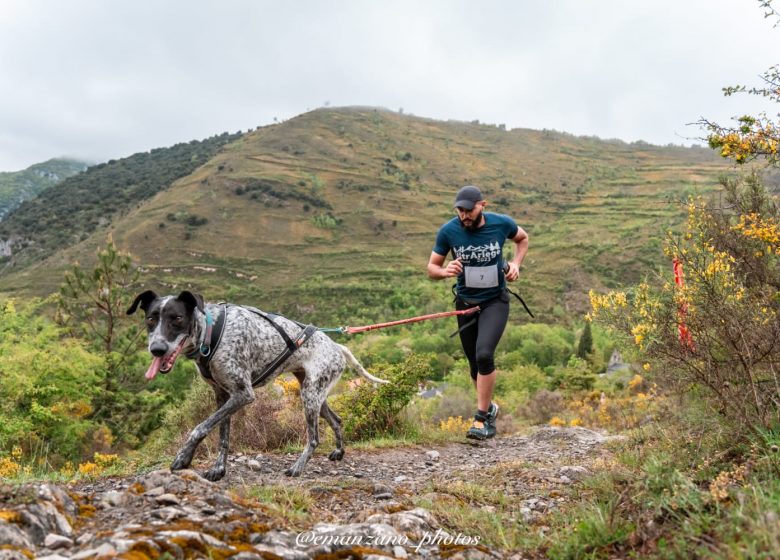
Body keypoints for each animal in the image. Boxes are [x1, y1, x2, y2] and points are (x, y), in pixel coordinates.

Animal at [125, 290, 390, 480]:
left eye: (177, 318)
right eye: (151, 319)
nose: (157, 349)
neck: (212, 332)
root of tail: (337, 346)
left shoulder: (243, 394)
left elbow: (199, 427)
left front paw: (183, 457)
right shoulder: (223, 396)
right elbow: (223, 436)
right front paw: (218, 469)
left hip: (309, 396)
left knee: (314, 438)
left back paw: (297, 468)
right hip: (315, 394)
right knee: (337, 420)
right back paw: (338, 452)